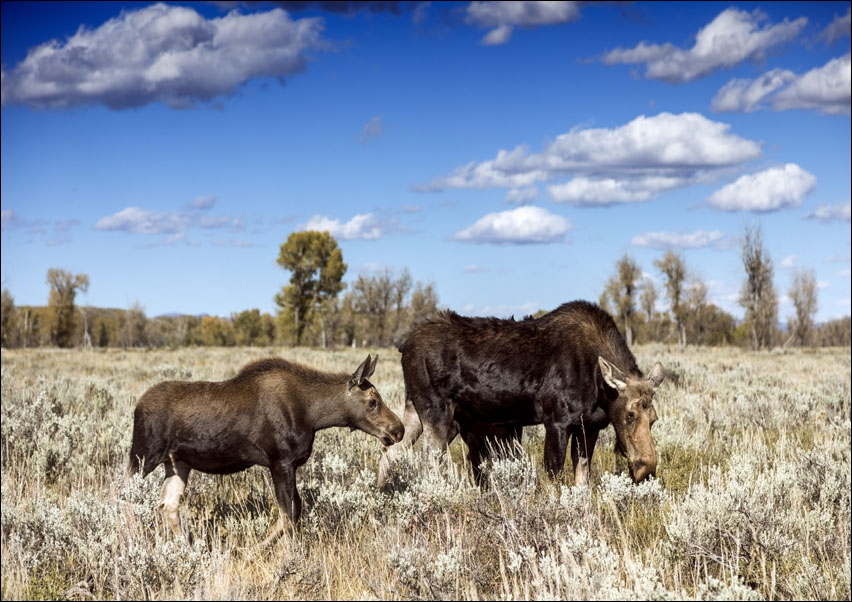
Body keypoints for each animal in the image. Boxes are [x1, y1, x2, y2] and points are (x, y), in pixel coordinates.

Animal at [129, 354, 402, 548]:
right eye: (373, 401)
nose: (398, 429)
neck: (314, 415)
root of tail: (137, 407)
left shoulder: (290, 465)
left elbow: (293, 512)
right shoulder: (280, 461)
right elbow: (287, 517)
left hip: (178, 463)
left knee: (168, 505)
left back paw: (189, 547)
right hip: (142, 456)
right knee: (125, 498)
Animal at [378, 300, 664, 488]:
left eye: (654, 419)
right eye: (629, 414)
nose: (646, 469)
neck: (601, 389)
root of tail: (404, 346)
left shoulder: (589, 426)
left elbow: (582, 479)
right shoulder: (557, 422)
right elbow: (554, 476)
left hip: (418, 410)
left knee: (390, 453)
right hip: (435, 411)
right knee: (428, 460)